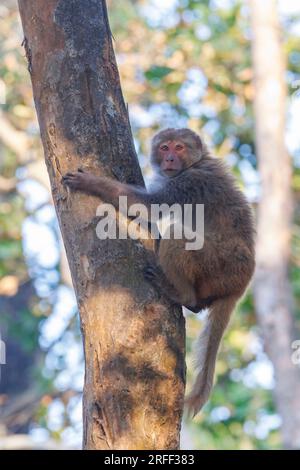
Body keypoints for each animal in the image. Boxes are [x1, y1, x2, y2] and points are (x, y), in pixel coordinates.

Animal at [63, 129, 255, 414]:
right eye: (165, 148)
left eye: (179, 147)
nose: (170, 158)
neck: (195, 163)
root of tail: (241, 284)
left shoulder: (188, 183)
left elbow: (149, 205)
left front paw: (90, 183)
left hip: (220, 264)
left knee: (177, 236)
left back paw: (183, 294)